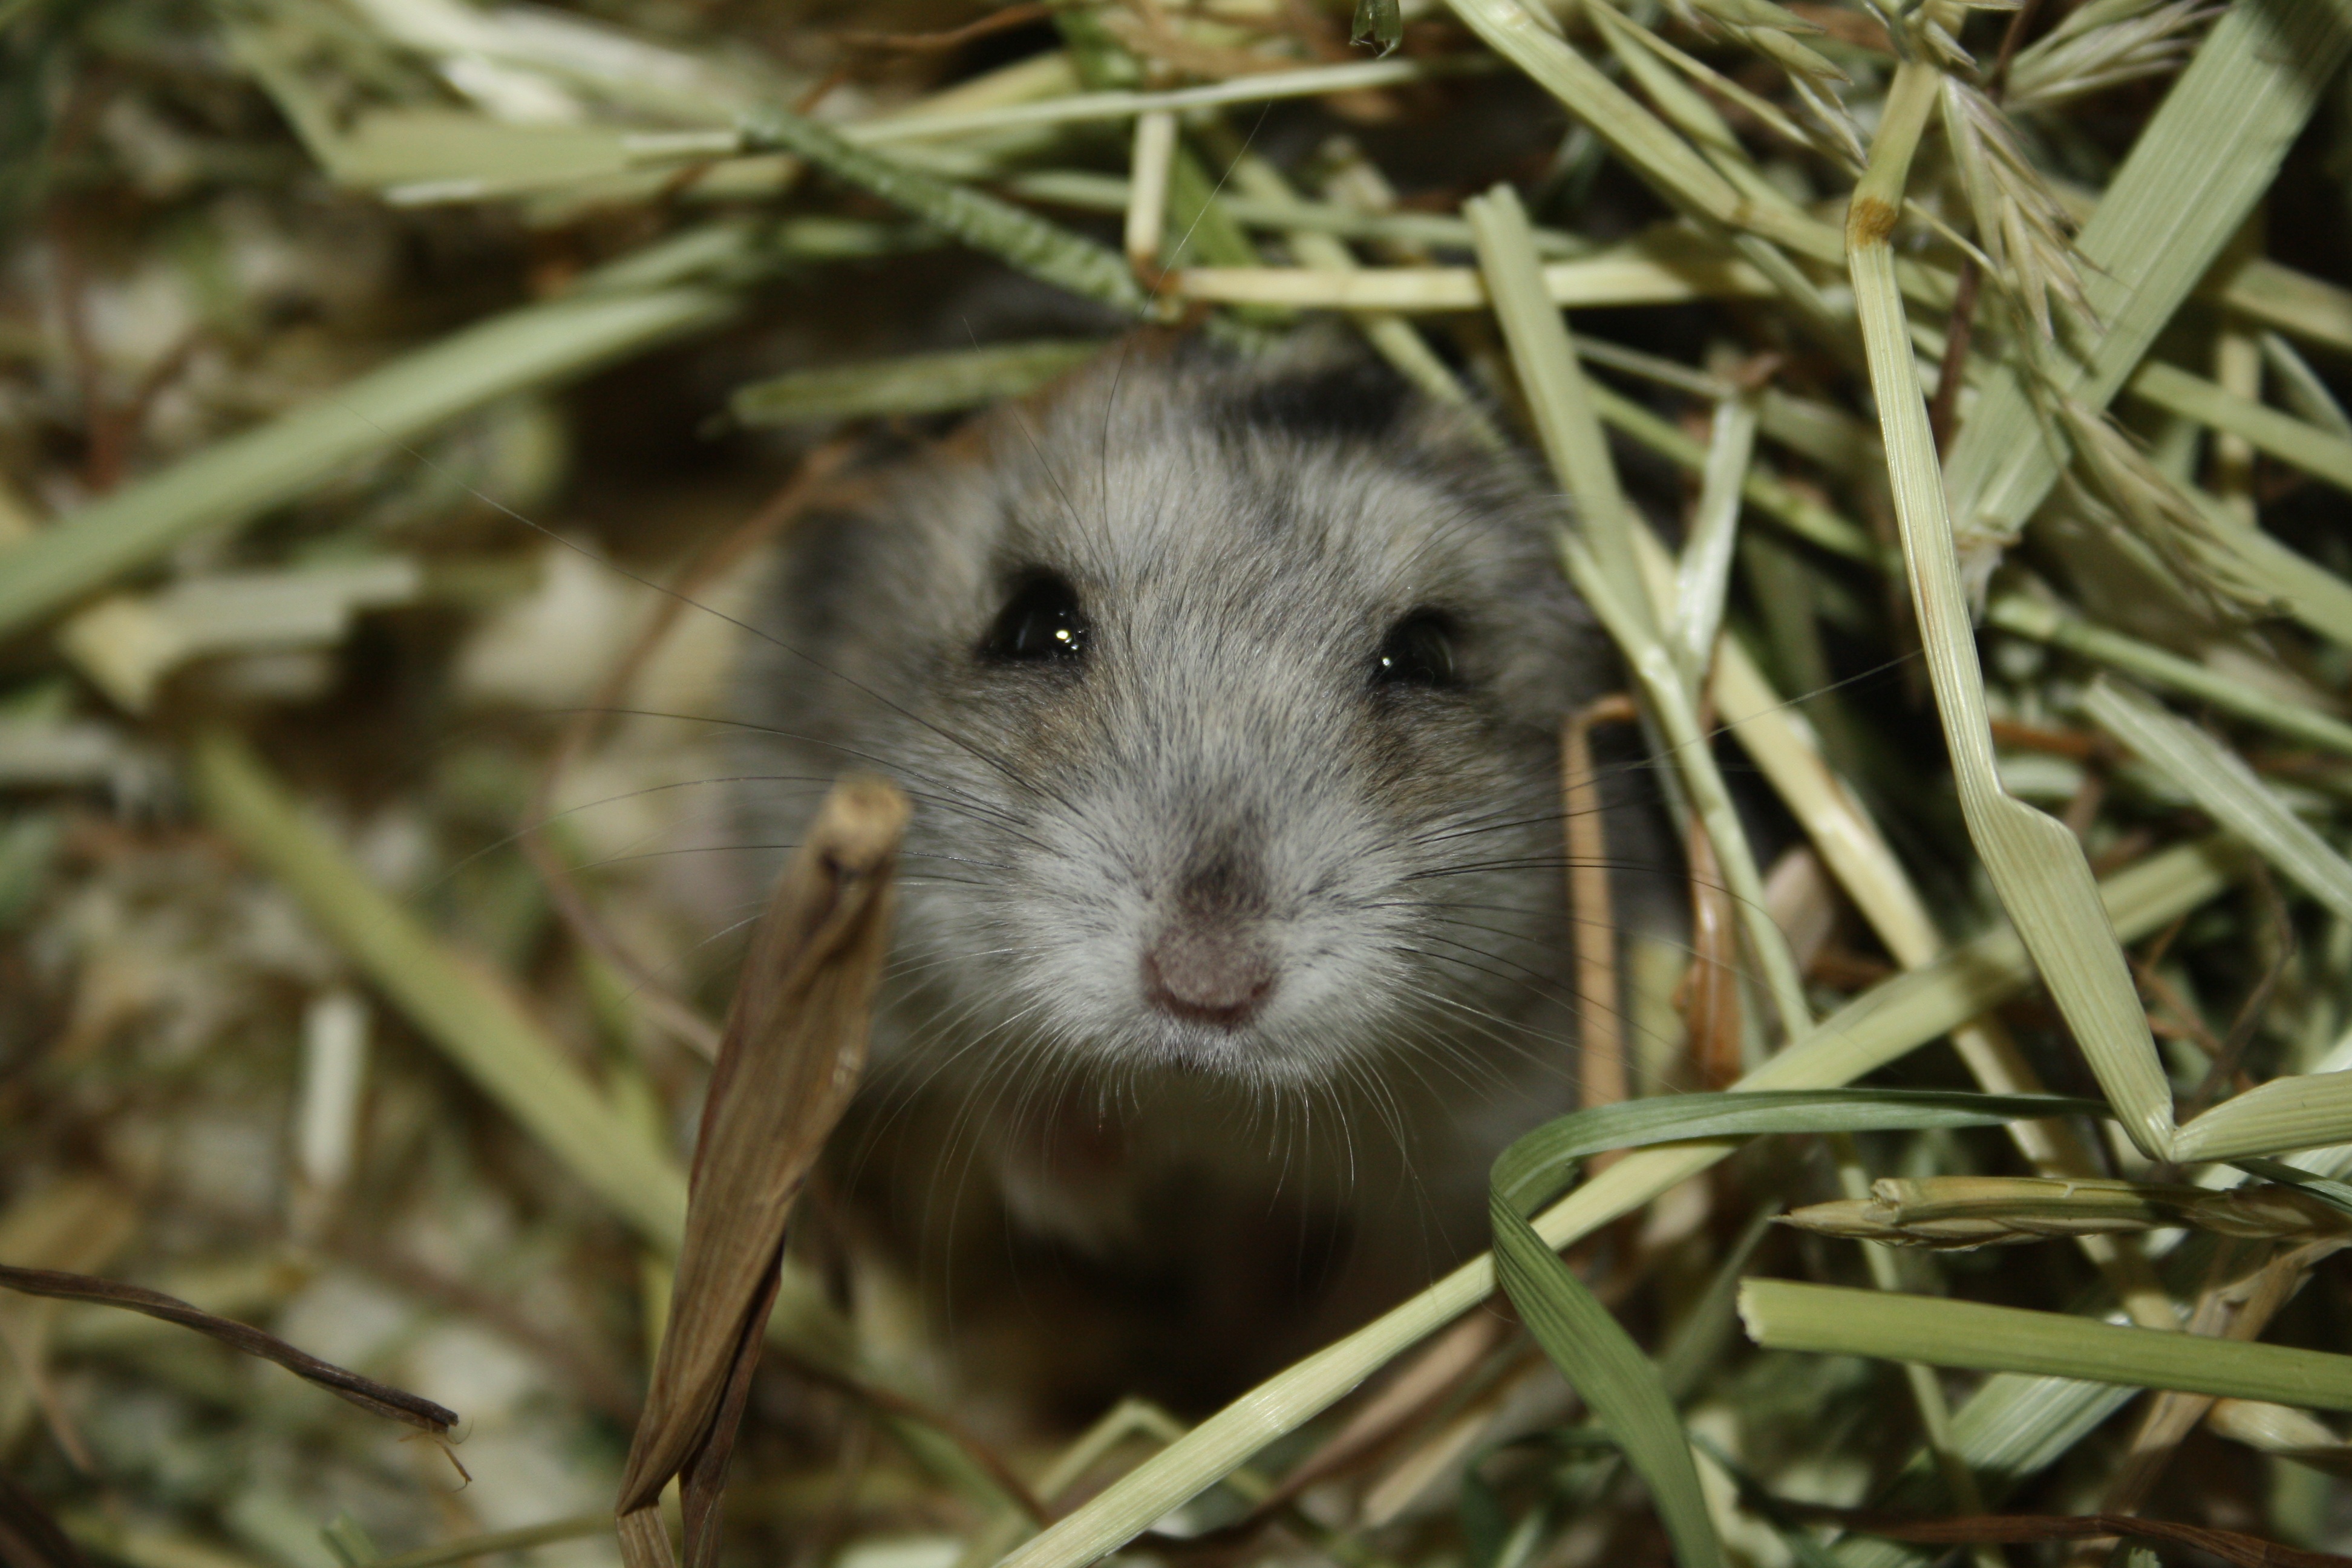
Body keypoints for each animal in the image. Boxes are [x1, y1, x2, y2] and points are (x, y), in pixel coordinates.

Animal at [734, 333, 1637, 1410]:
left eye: (1427, 654)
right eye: (1032, 620)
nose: (1205, 989)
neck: (1203, 1105)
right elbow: (1002, 1098)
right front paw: (1097, 1212)